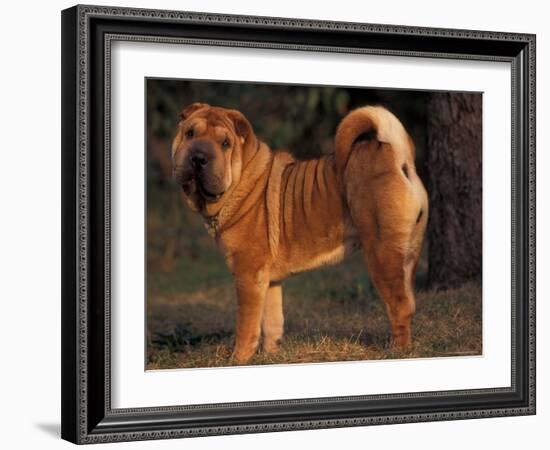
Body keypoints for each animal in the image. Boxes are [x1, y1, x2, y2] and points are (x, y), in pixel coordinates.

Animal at [172, 103, 432, 364]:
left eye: (225, 143)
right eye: (190, 134)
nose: (198, 158)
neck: (240, 182)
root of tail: (397, 154)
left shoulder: (248, 275)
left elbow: (247, 324)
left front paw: (238, 359)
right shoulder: (269, 280)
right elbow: (272, 321)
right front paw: (271, 354)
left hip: (382, 254)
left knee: (399, 305)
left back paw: (397, 350)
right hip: (409, 253)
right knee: (410, 300)